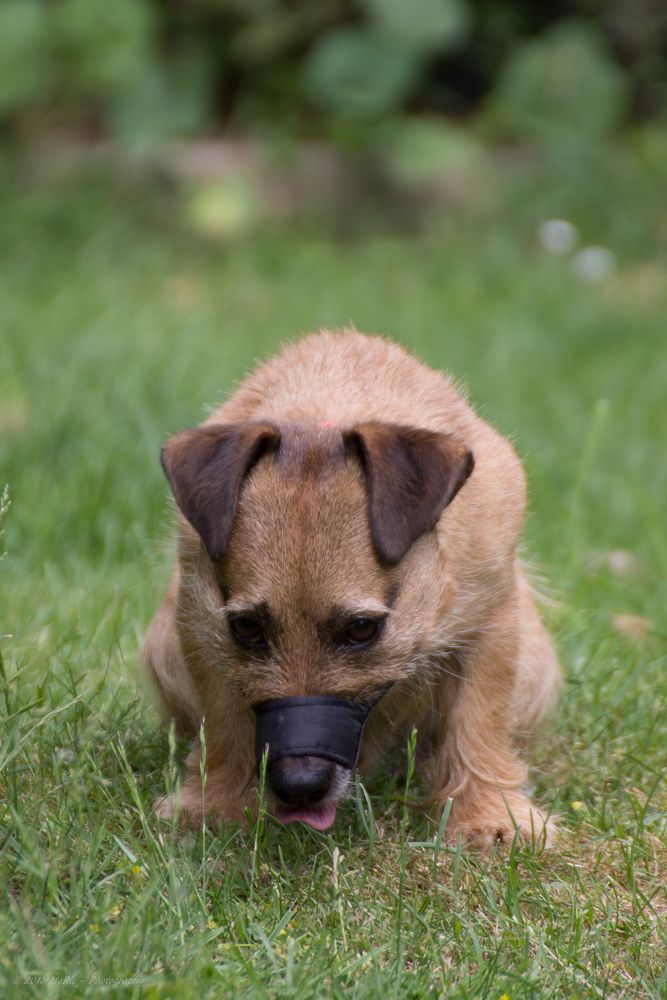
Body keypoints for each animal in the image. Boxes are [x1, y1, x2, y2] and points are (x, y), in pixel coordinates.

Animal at [144, 332, 560, 848]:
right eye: (247, 628)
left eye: (362, 629)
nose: (298, 786)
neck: (325, 410)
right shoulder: (201, 625)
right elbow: (223, 720)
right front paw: (215, 804)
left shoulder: (491, 624)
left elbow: (479, 718)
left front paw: (488, 817)